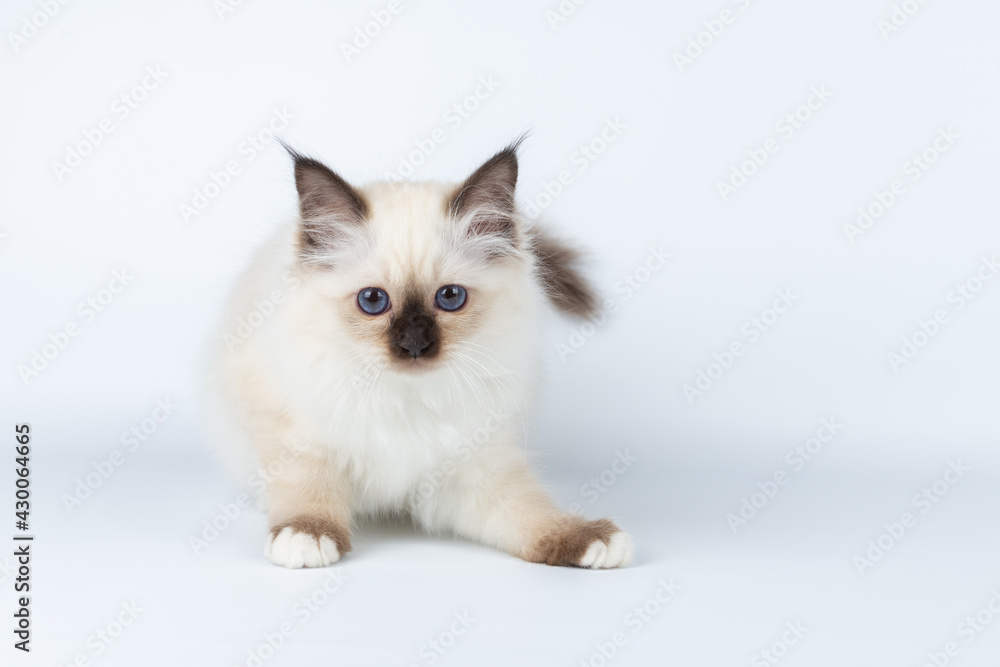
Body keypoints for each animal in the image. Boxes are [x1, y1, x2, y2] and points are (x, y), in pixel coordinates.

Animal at [205, 141, 632, 568]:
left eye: (450, 297)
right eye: (372, 300)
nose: (414, 345)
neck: (404, 397)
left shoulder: (474, 469)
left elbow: (531, 514)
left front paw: (590, 539)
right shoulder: (298, 432)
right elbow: (307, 487)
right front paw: (305, 536)